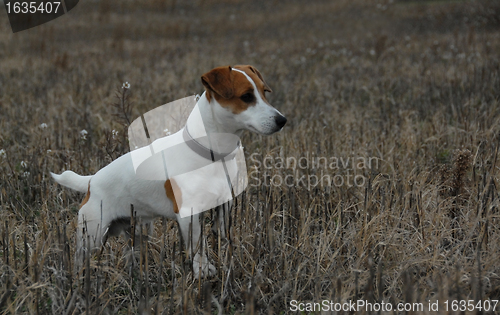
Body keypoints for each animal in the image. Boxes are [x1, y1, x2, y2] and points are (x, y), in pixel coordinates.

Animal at [51, 65, 286, 278]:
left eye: (264, 92)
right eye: (246, 96)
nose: (282, 120)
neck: (211, 154)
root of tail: (92, 182)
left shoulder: (223, 206)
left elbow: (221, 236)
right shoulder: (189, 214)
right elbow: (197, 245)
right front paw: (202, 270)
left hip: (136, 232)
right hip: (92, 236)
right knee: (82, 259)